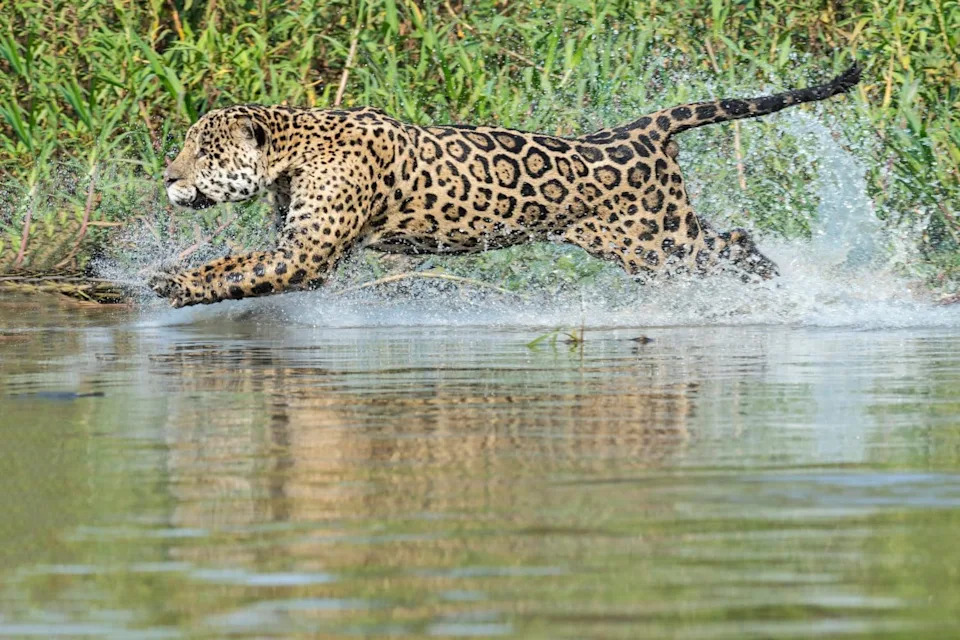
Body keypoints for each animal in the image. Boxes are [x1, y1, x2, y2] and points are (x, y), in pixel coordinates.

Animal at [151, 64, 861, 307]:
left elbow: (238, 274)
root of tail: (640, 128)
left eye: (203, 150)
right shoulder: (291, 242)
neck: (294, 149)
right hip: (657, 239)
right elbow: (235, 263)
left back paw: (788, 294)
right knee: (731, 238)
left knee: (733, 243)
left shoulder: (307, 256)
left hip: (658, 243)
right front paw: (167, 278)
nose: (167, 177)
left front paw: (178, 288)